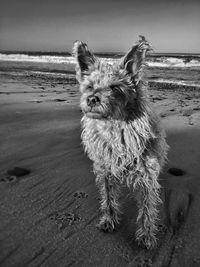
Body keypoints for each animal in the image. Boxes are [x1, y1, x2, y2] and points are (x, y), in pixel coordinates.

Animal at [72, 36, 168, 250]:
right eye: (89, 86)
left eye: (115, 88)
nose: (92, 99)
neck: (114, 128)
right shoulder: (104, 170)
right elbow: (108, 198)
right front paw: (109, 220)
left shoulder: (147, 175)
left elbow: (147, 207)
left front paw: (146, 235)